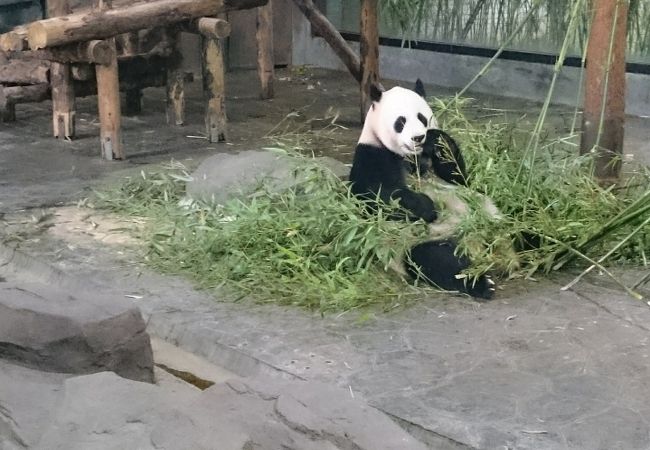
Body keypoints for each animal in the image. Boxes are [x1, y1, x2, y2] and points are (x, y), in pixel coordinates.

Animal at [350, 79, 496, 300]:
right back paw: (481, 283)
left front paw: (436, 139)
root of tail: (479, 240)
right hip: (415, 243)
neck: (413, 157)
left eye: (422, 118)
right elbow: (378, 197)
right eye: (400, 122)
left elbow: (459, 177)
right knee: (438, 261)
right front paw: (427, 207)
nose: (418, 138)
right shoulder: (372, 154)